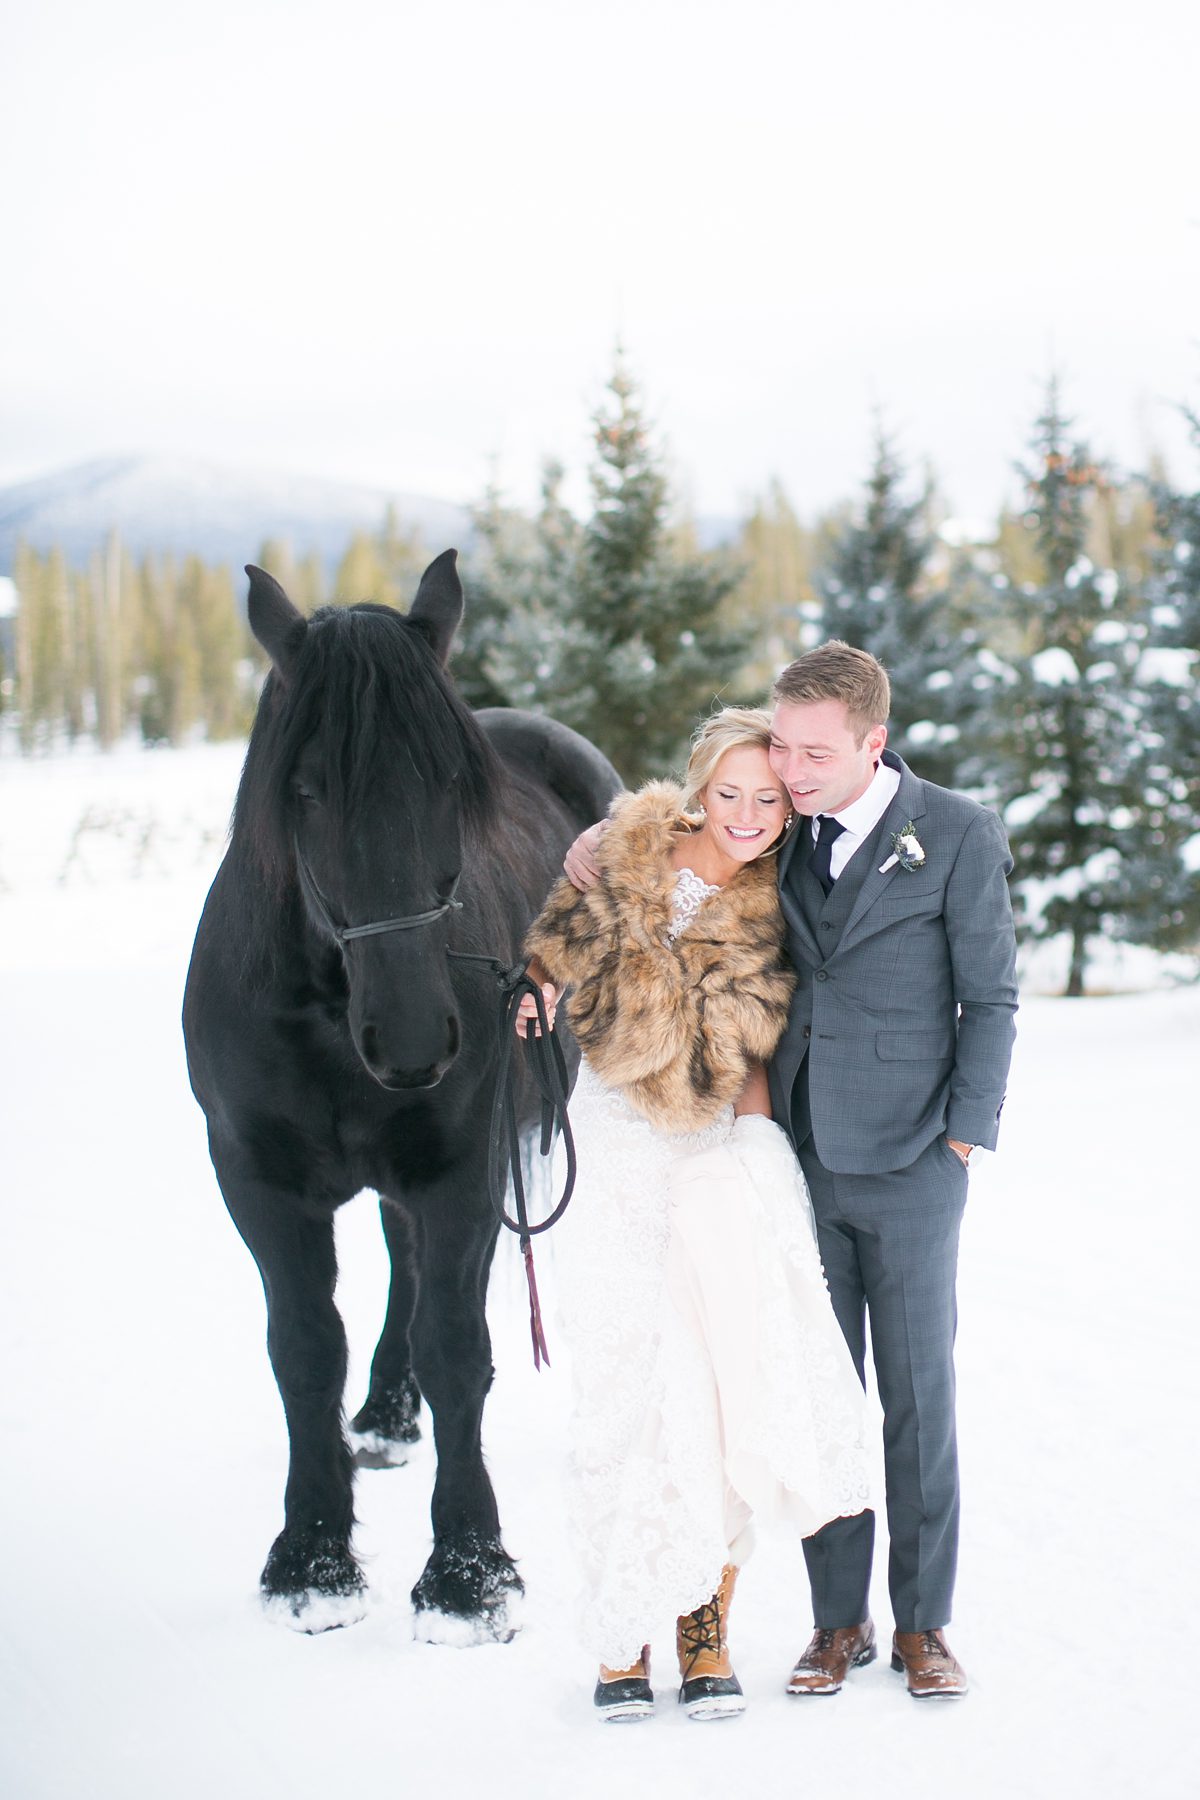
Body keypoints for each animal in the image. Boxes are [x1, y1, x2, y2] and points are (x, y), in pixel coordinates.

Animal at [182, 550, 621, 1639]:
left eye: (453, 785)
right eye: (303, 789)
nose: (418, 1039)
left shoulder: (461, 1164)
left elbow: (458, 1346)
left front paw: (468, 1571)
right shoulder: (256, 1182)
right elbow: (304, 1350)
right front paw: (311, 1557)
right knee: (398, 1261)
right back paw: (385, 1413)